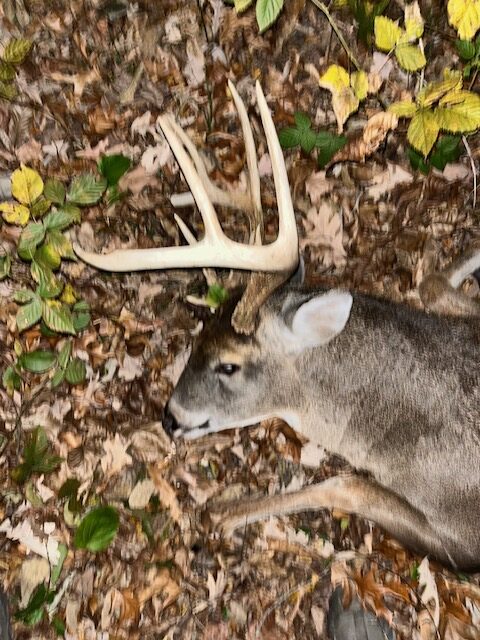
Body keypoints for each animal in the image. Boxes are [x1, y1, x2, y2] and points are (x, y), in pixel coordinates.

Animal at [74, 81, 480, 571]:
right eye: (198, 337)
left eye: (229, 365)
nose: (171, 418)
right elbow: (433, 284)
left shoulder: (465, 536)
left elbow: (347, 483)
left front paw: (225, 512)